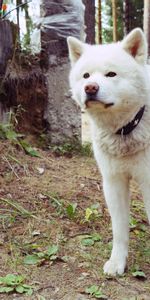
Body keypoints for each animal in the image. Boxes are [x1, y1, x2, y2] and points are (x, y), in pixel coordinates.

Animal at [67, 29, 150, 276]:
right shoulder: (114, 183)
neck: (126, 129)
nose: (90, 87)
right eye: (86, 76)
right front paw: (117, 263)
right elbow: (119, 230)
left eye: (111, 74)